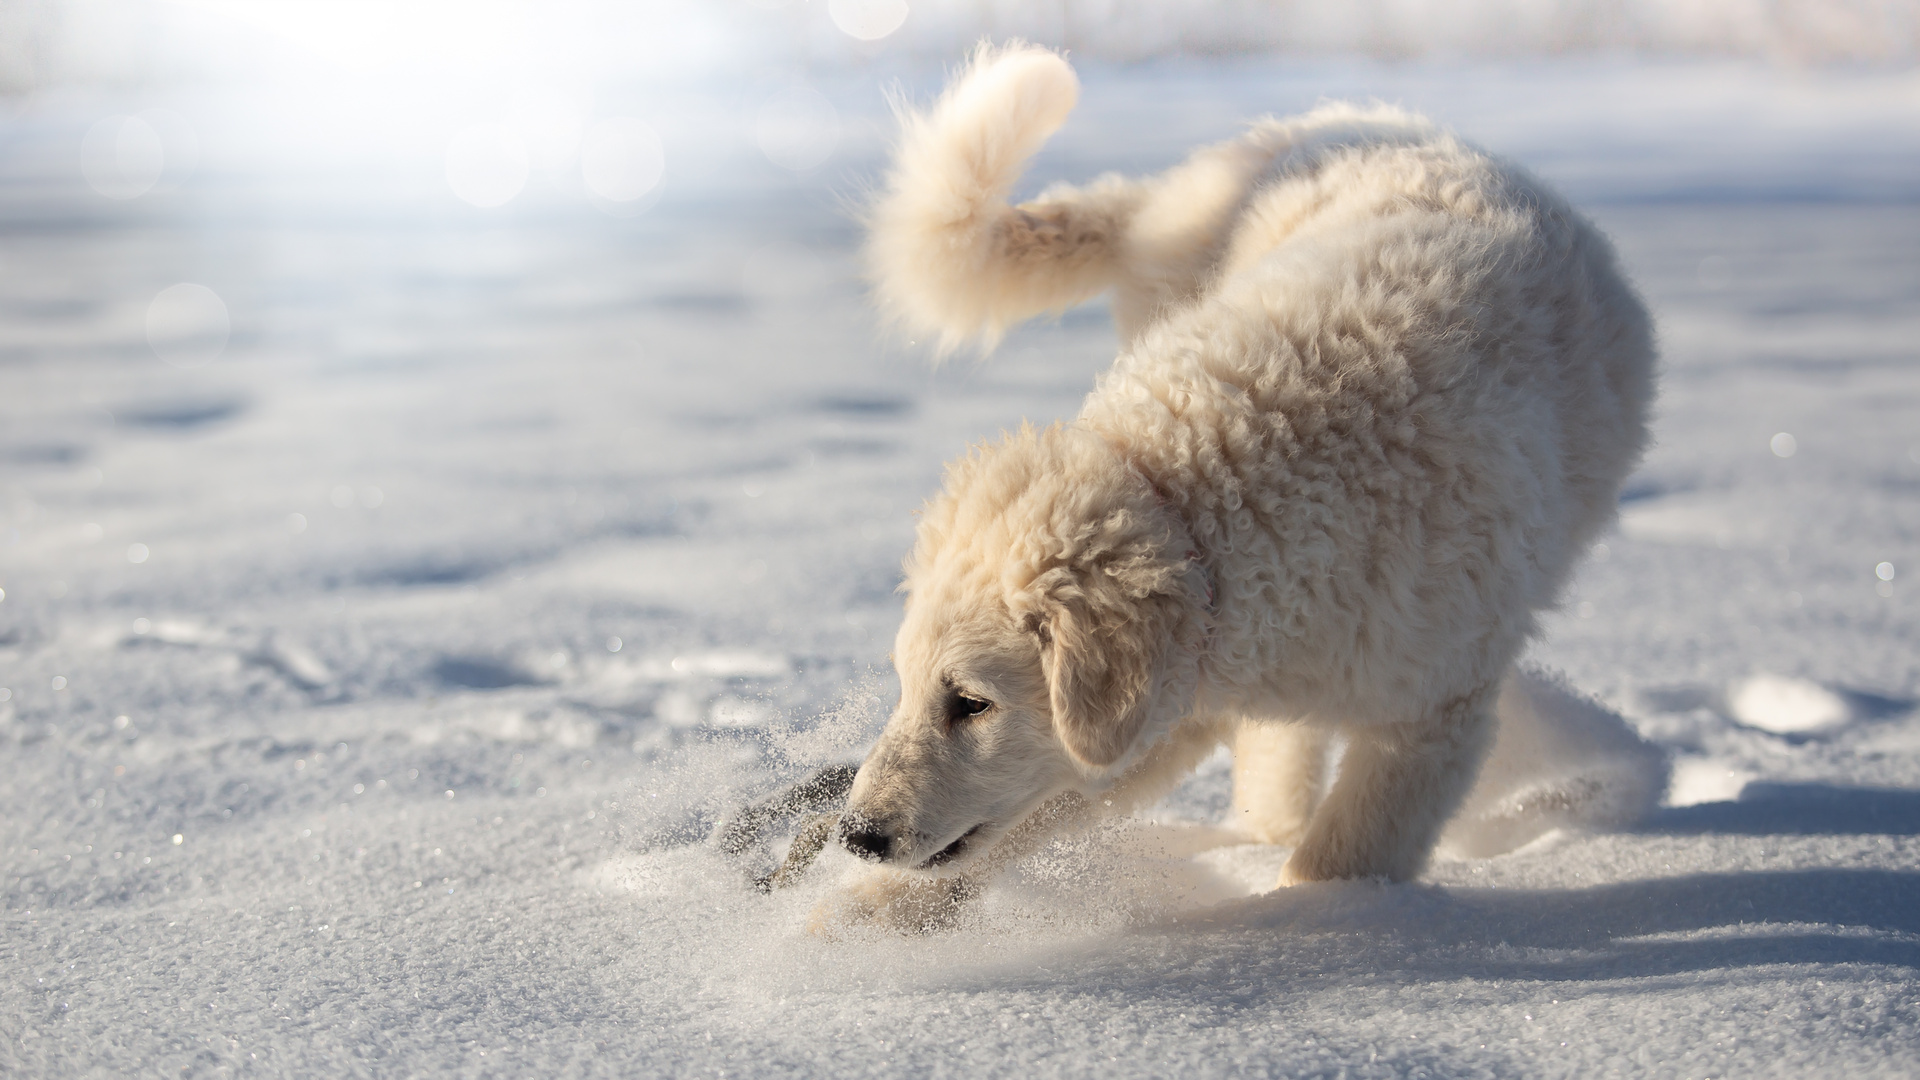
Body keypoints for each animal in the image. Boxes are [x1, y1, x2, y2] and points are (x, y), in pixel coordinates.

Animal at [817, 46, 1658, 930]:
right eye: (904, 683)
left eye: (971, 702)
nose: (856, 836)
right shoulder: (1182, 700)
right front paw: (839, 926)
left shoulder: (1435, 710)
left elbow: (1342, 852)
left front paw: (1321, 923)